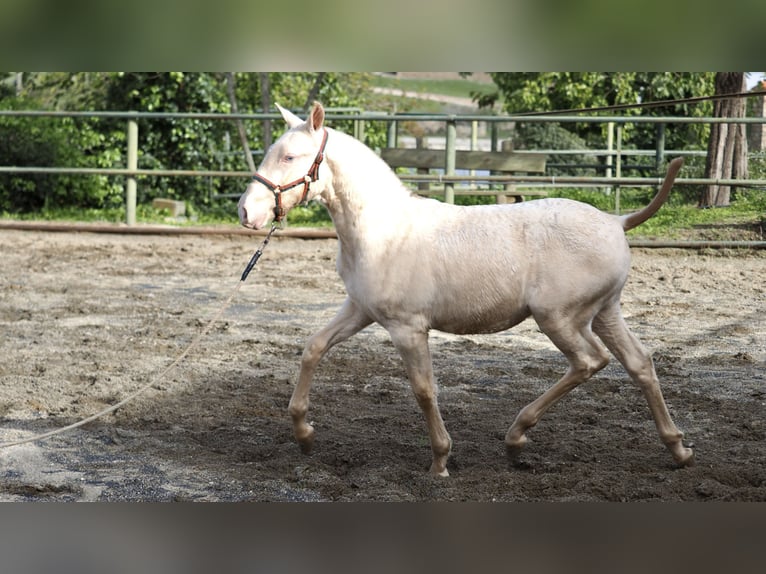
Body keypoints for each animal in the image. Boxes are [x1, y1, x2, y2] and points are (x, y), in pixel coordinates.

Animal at [240, 102, 696, 476]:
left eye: (290, 156)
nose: (247, 211)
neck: (384, 230)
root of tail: (617, 221)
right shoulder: (360, 309)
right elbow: (314, 348)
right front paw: (304, 434)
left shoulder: (407, 328)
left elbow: (424, 390)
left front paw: (440, 460)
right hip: (604, 313)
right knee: (639, 363)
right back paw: (677, 449)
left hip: (560, 317)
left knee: (589, 361)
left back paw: (516, 437)